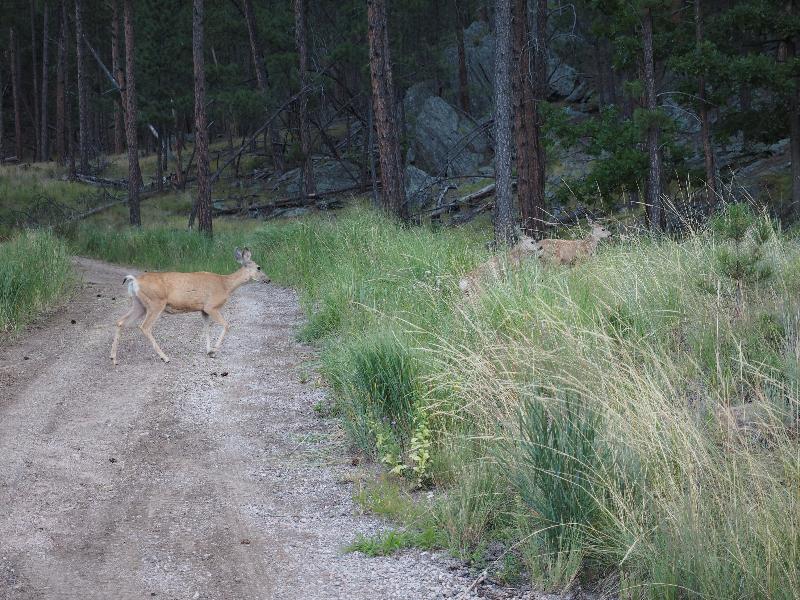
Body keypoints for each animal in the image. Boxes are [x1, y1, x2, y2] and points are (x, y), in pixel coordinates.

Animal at [110, 247, 270, 365]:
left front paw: (209, 351)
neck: (225, 285)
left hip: (139, 304)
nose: (268, 279)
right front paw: (214, 351)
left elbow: (206, 328)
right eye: (259, 267)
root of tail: (134, 280)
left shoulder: (203, 310)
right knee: (145, 327)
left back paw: (113, 358)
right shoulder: (211, 306)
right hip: (155, 302)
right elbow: (226, 325)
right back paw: (165, 357)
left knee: (120, 321)